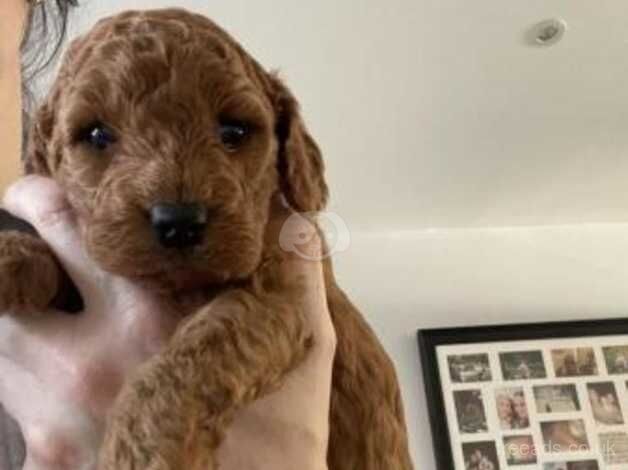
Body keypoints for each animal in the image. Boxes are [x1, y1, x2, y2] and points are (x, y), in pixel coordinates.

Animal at [0, 8, 414, 470]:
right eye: (96, 135)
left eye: (233, 131)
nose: (179, 221)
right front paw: (10, 256)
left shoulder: (277, 299)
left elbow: (197, 353)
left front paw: (141, 453)